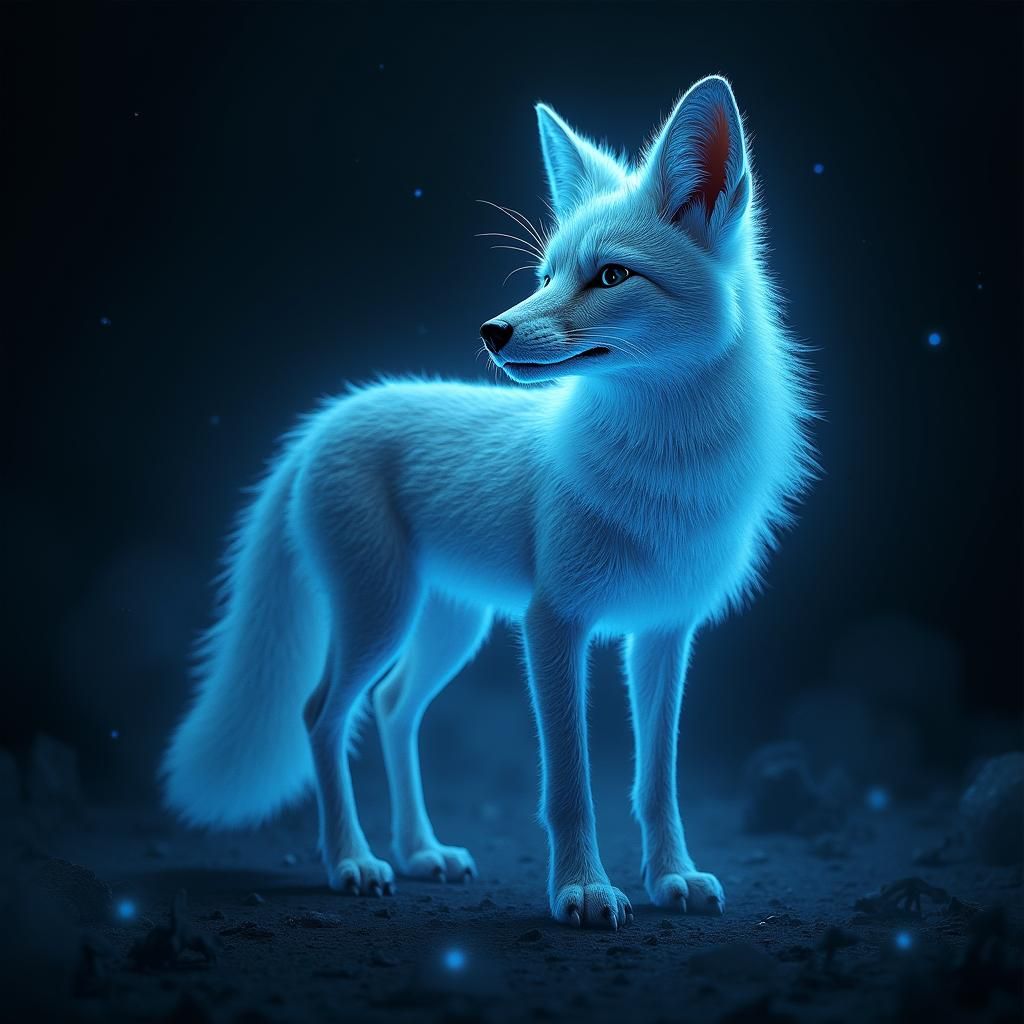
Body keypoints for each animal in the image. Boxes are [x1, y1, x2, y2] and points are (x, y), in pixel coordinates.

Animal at [163, 75, 815, 929]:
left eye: (611, 276)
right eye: (544, 275)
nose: (492, 331)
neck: (667, 474)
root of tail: (325, 419)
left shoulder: (664, 633)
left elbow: (656, 782)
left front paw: (673, 877)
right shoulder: (553, 623)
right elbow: (569, 783)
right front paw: (582, 891)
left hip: (451, 624)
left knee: (395, 709)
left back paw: (421, 854)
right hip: (383, 613)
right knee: (322, 715)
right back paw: (354, 862)